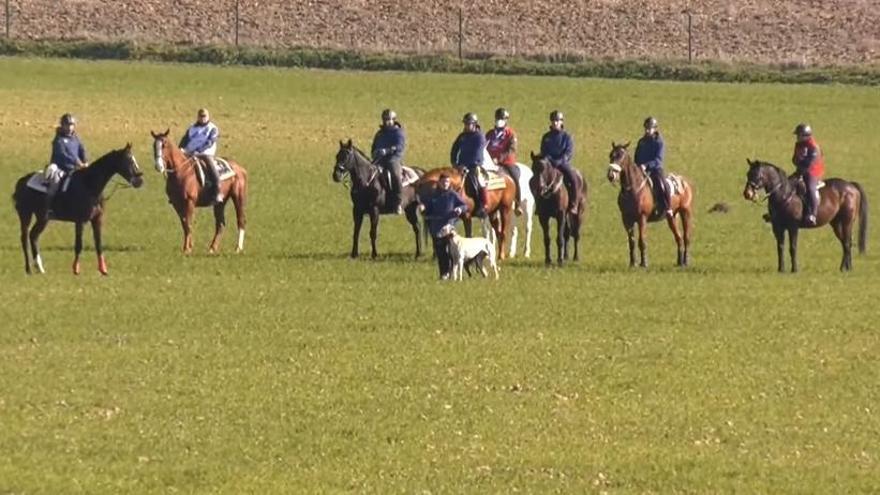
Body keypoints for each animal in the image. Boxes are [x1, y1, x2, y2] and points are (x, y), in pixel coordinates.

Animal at [11, 143, 145, 276]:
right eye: (128, 160)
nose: (139, 181)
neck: (89, 185)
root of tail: (22, 181)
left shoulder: (97, 220)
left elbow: (98, 244)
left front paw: (103, 270)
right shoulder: (80, 221)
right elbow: (79, 244)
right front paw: (76, 269)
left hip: (41, 218)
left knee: (33, 236)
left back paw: (39, 267)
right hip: (27, 215)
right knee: (25, 238)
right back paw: (28, 269)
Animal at [604, 141, 696, 270]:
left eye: (621, 156)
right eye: (611, 155)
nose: (611, 175)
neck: (633, 189)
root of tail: (684, 182)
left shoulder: (641, 218)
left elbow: (641, 240)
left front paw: (644, 263)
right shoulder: (626, 220)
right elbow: (631, 242)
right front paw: (632, 263)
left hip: (685, 213)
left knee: (686, 237)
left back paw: (686, 262)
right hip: (672, 217)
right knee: (678, 237)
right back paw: (679, 262)